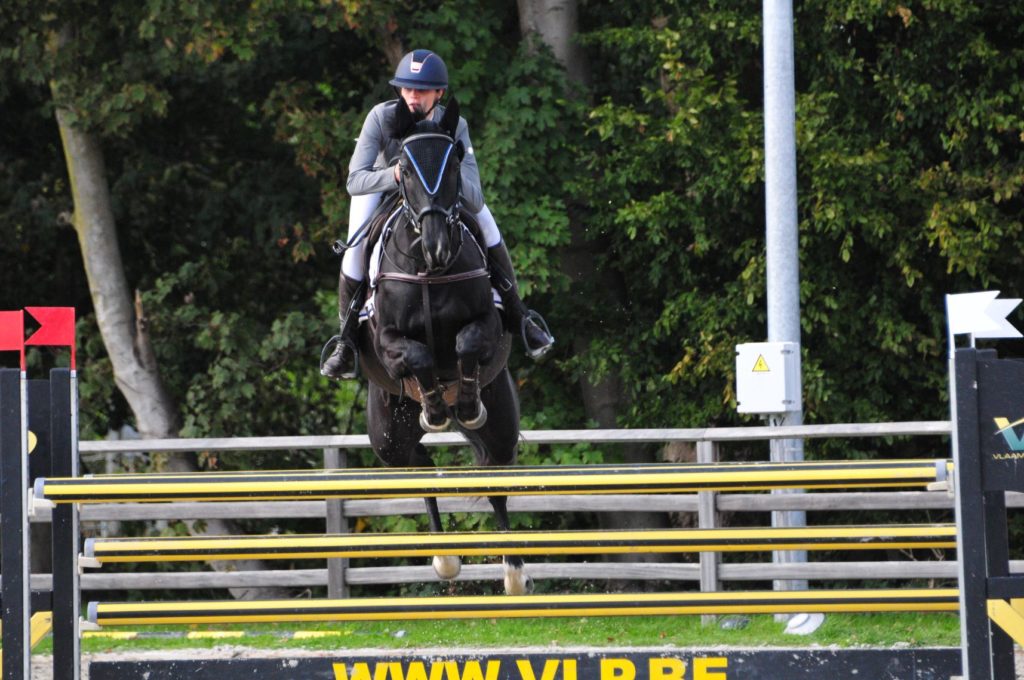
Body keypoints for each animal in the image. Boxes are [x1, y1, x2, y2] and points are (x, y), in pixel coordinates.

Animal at [354, 99, 532, 593]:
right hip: (387, 433)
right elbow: (416, 355)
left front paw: (463, 402)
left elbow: (468, 342)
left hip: (502, 420)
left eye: (453, 163)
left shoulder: (487, 325)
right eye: (405, 168)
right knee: (418, 469)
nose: (436, 247)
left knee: (494, 475)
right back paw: (445, 559)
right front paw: (433, 406)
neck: (428, 271)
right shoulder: (387, 341)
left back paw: (514, 572)